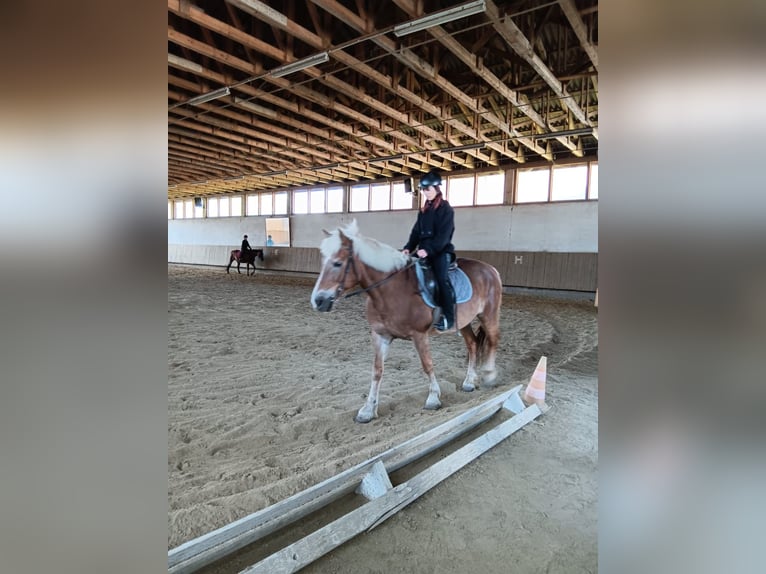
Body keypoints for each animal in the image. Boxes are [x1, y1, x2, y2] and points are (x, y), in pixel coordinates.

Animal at [310, 220, 503, 423]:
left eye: (338, 263)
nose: (319, 301)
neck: (391, 290)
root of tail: (490, 269)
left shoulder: (419, 335)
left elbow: (427, 364)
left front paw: (433, 398)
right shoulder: (380, 335)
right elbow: (377, 370)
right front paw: (368, 410)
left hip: (489, 315)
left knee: (493, 340)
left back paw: (490, 376)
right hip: (464, 321)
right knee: (473, 344)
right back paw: (468, 382)